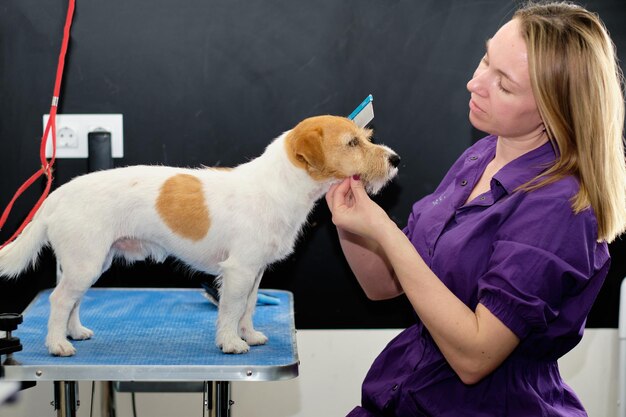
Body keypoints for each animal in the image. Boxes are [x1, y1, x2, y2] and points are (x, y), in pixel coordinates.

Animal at [0, 114, 400, 354]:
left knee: (71, 302)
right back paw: (57, 344)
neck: (280, 185)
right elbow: (230, 309)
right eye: (352, 143)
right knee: (58, 301)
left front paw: (249, 335)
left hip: (89, 263)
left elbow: (248, 307)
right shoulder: (238, 271)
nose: (395, 160)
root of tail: (57, 195)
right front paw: (231, 342)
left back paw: (74, 332)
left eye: (365, 138)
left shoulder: (254, 272)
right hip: (85, 263)